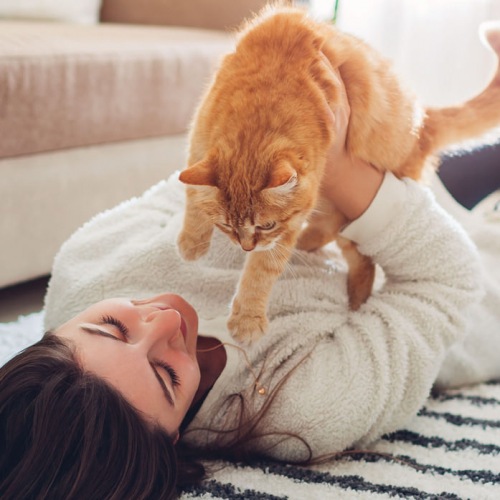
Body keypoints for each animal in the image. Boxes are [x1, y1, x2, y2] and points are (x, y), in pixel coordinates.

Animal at [178, 4, 500, 344]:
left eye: (266, 225)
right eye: (226, 225)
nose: (246, 247)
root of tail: (423, 122)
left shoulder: (287, 225)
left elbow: (263, 269)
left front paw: (247, 317)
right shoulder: (198, 141)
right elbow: (193, 196)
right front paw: (192, 242)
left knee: (363, 262)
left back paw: (355, 304)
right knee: (332, 231)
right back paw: (310, 246)